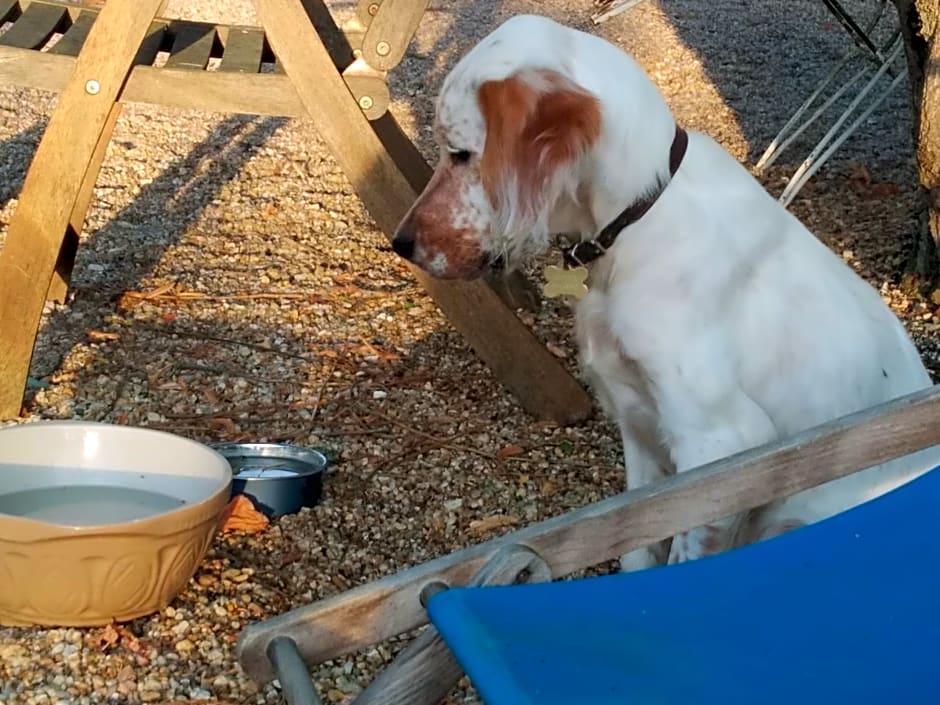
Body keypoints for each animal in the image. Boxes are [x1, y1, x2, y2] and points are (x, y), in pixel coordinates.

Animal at [392, 13, 940, 568]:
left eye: (461, 154)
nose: (402, 243)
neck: (637, 217)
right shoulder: (640, 430)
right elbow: (635, 547)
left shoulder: (723, 442)